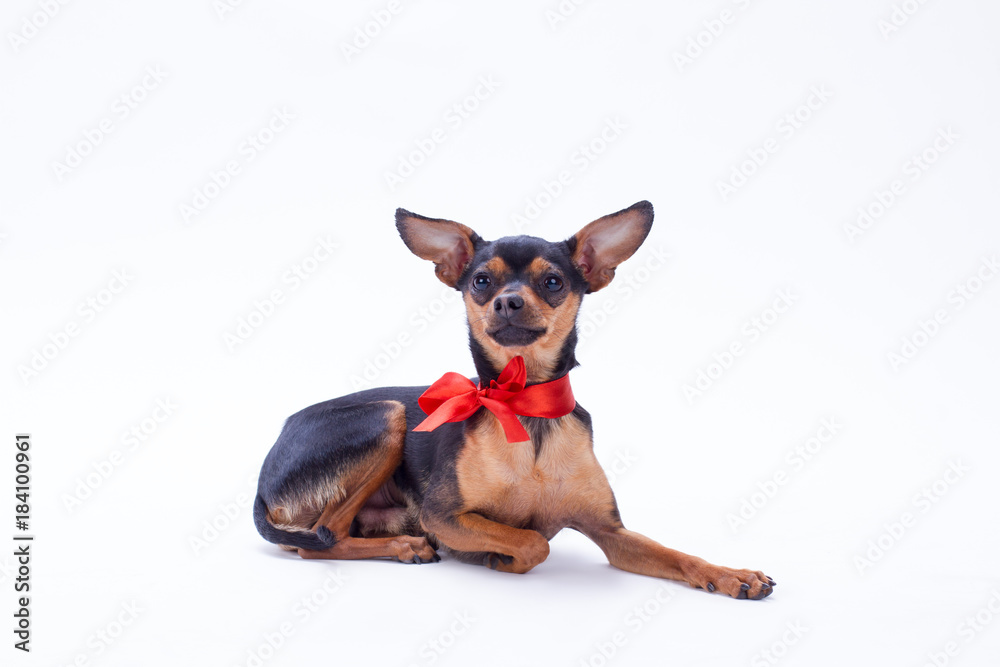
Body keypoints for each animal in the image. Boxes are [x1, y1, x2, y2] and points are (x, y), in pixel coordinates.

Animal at [254, 202, 776, 600]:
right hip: (388, 416)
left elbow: (676, 554)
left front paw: (730, 574)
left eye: (553, 282)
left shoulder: (612, 533)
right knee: (319, 539)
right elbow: (531, 541)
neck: (525, 403)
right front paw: (502, 559)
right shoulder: (445, 516)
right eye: (482, 281)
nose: (507, 301)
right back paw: (408, 547)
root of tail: (263, 479)